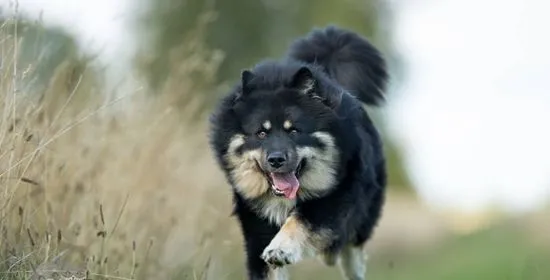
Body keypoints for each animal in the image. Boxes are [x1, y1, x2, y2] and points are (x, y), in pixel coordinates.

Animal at [209, 26, 390, 280]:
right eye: (261, 133)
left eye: (293, 130)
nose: (276, 160)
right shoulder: (256, 226)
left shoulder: (334, 198)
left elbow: (301, 220)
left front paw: (281, 248)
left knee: (349, 251)